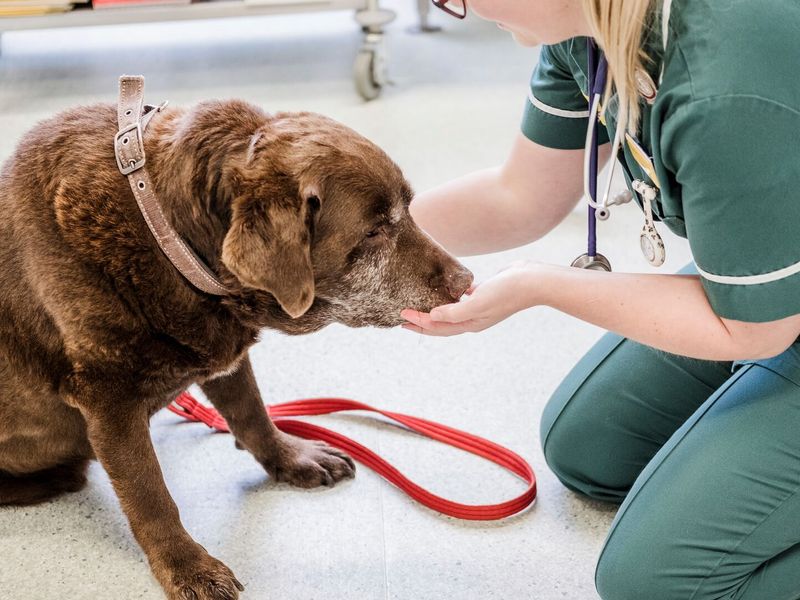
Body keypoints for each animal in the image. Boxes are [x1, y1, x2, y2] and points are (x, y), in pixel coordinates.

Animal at [0, 96, 476, 596]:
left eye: (408, 209)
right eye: (373, 231)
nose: (466, 281)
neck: (166, 235)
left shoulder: (224, 352)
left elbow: (252, 413)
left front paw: (291, 458)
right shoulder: (108, 398)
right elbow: (150, 495)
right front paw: (188, 567)